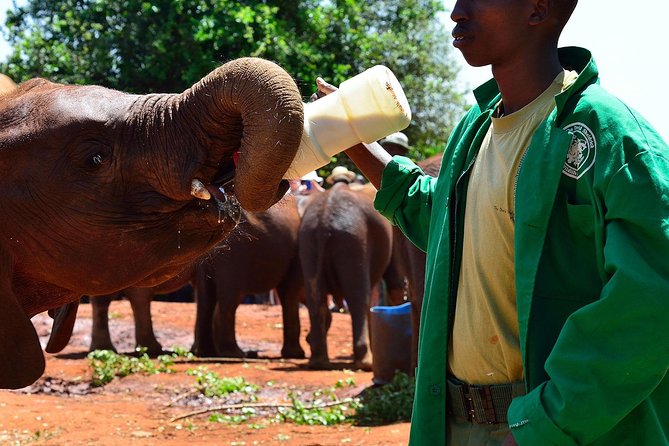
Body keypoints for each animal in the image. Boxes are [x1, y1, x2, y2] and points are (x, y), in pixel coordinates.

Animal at [192, 193, 305, 359]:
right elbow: (290, 293)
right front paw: (296, 355)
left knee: (206, 300)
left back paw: (207, 352)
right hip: (234, 253)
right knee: (229, 300)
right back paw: (235, 353)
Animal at [299, 182, 393, 370]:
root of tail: (325, 220)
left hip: (309, 240)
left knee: (315, 298)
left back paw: (318, 362)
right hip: (354, 240)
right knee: (359, 299)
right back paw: (365, 363)